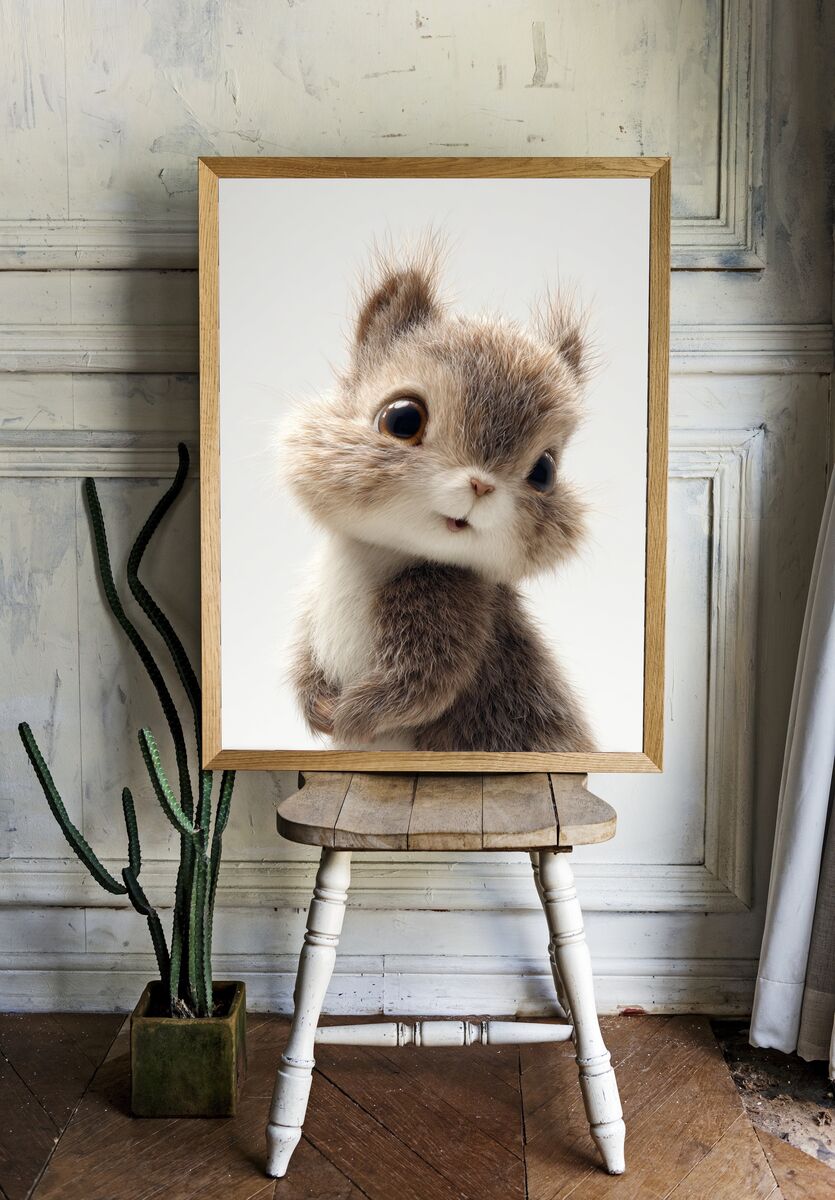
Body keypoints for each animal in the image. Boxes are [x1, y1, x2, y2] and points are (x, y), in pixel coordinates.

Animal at [281, 243, 595, 753]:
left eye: (545, 472)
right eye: (402, 419)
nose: (482, 485)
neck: (378, 552)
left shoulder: (451, 617)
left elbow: (418, 687)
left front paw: (347, 717)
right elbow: (305, 660)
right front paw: (315, 704)